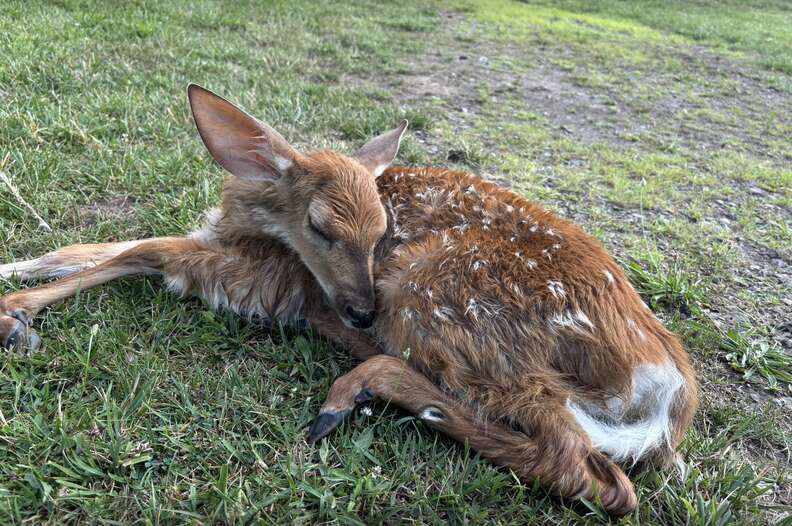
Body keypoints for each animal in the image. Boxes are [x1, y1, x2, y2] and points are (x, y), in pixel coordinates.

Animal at [0, 85, 697, 515]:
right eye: (321, 227)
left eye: (384, 230)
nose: (360, 310)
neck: (250, 224)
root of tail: (667, 387)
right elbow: (99, 245)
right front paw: (15, 273)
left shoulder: (259, 280)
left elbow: (144, 250)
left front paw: (15, 313)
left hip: (441, 301)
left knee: (593, 474)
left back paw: (358, 389)